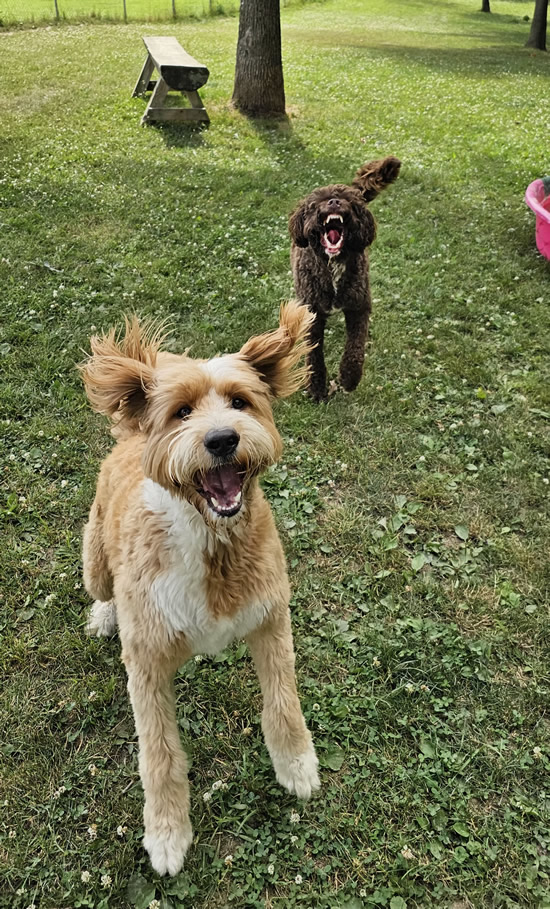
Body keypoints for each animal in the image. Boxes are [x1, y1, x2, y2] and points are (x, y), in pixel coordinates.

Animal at [292, 156, 404, 400]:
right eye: (317, 202)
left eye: (349, 202)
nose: (334, 202)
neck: (333, 264)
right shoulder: (313, 313)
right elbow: (314, 353)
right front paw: (316, 387)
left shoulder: (358, 307)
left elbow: (355, 347)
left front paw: (349, 378)